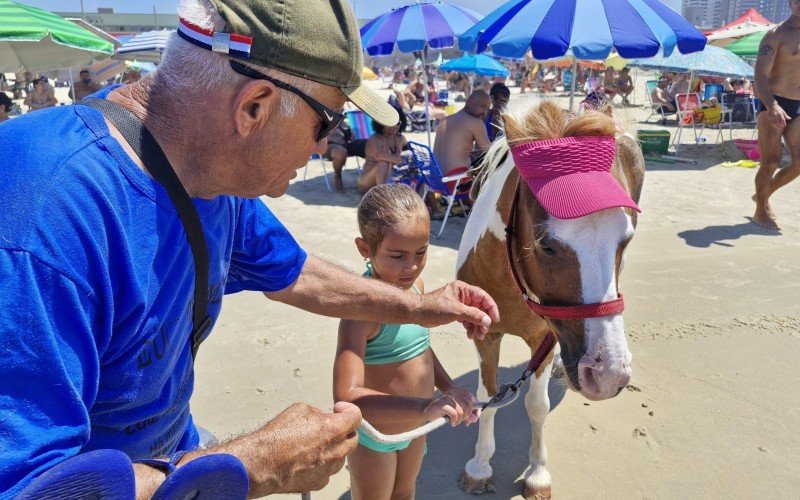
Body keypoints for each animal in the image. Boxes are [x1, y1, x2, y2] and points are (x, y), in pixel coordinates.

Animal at [456, 100, 644, 496]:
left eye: (626, 240)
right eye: (545, 245)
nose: (608, 376)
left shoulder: (544, 337)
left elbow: (536, 405)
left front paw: (537, 473)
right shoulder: (483, 334)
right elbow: (488, 396)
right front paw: (479, 467)